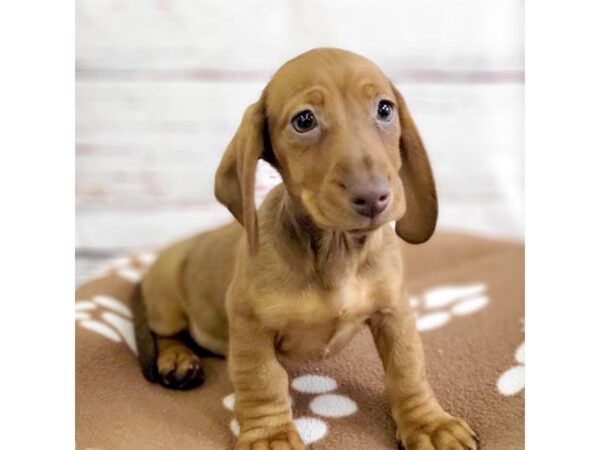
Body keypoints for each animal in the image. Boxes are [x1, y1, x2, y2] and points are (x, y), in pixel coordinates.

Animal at [134, 47, 476, 448]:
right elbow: (263, 381)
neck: (336, 252)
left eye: (384, 109)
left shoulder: (395, 312)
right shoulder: (250, 327)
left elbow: (407, 369)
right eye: (305, 120)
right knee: (165, 332)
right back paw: (177, 358)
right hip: (167, 298)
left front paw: (429, 424)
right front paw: (270, 435)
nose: (373, 197)